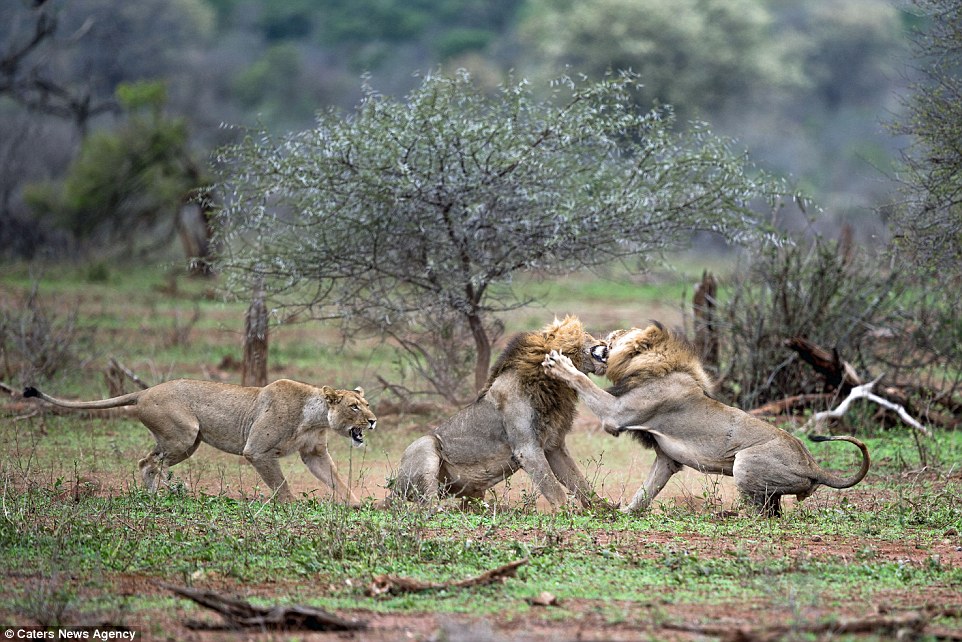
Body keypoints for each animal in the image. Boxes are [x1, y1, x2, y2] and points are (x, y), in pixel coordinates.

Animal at [22, 378, 376, 502]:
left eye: (367, 403)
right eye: (354, 406)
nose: (373, 420)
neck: (314, 415)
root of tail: (145, 390)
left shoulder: (314, 453)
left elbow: (337, 480)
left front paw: (355, 506)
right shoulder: (257, 451)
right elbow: (282, 486)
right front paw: (291, 509)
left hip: (186, 442)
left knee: (147, 461)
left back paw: (155, 497)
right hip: (184, 435)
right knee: (149, 462)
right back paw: (161, 495)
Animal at [386, 312, 604, 508]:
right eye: (587, 333)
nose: (604, 341)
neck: (553, 385)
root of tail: (394, 489)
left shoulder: (553, 446)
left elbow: (581, 484)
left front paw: (604, 512)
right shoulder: (527, 449)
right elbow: (556, 491)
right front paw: (567, 516)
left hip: (471, 492)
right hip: (425, 445)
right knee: (426, 506)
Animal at [540, 320, 872, 516]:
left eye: (622, 335)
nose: (610, 334)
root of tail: (813, 465)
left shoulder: (616, 414)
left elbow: (585, 384)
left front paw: (560, 364)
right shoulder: (667, 458)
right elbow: (646, 491)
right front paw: (622, 515)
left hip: (744, 463)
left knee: (759, 515)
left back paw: (727, 516)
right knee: (772, 512)